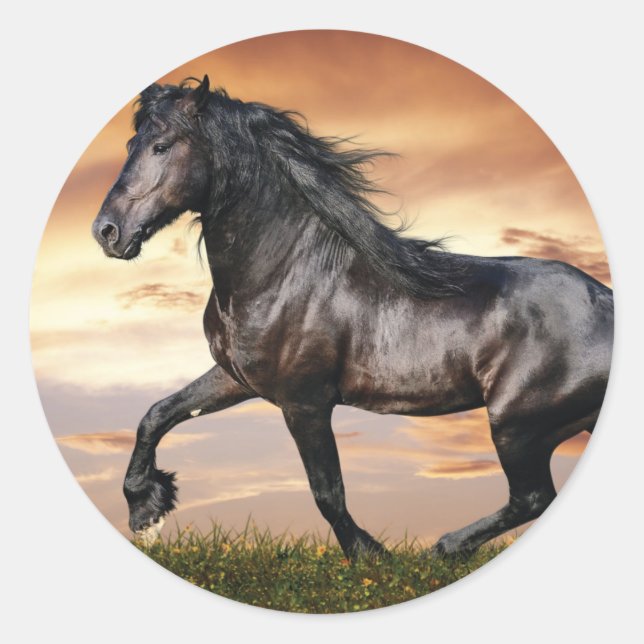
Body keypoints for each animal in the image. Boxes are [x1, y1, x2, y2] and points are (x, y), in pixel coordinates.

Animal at [92, 76, 613, 559]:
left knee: (531, 497)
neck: (285, 271)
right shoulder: (236, 378)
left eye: (162, 146)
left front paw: (369, 555)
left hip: (516, 425)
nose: (106, 232)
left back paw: (442, 549)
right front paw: (146, 509)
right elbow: (157, 415)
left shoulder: (305, 402)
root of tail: (603, 299)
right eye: (130, 145)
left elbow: (327, 492)